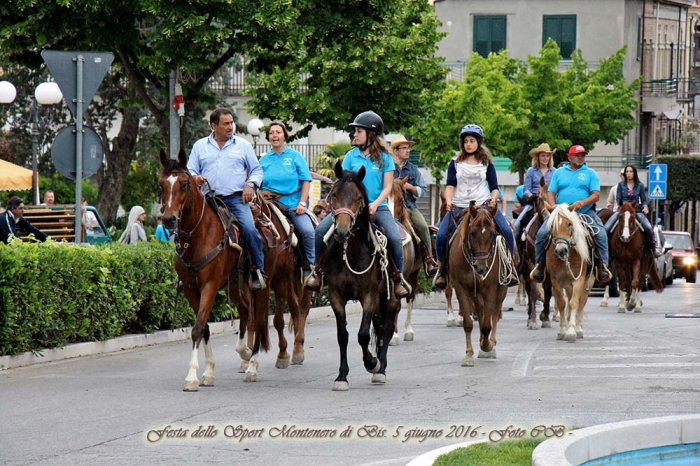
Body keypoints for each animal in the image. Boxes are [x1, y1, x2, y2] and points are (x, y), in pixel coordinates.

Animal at [160, 149, 270, 390]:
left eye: (184, 184)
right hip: (236, 287)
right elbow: (204, 328)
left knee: (258, 320)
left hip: (261, 287)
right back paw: (244, 352)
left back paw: (252, 365)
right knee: (245, 313)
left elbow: (197, 328)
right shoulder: (191, 290)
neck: (197, 236)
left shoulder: (209, 286)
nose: (168, 219)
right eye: (161, 184)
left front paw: (191, 376)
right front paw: (209, 371)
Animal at [322, 162, 400, 392]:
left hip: (391, 298)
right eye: (334, 194)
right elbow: (343, 335)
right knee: (380, 327)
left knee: (387, 329)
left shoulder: (369, 296)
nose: (342, 231)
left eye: (358, 198)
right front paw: (341, 376)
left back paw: (381, 369)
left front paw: (372, 363)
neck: (351, 252)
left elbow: (363, 335)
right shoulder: (336, 296)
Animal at [448, 202, 508, 366]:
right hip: (475, 293)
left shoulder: (491, 289)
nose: (481, 268)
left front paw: (487, 346)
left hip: (501, 290)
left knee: (495, 313)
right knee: (480, 312)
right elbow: (468, 323)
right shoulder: (461, 287)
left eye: (493, 234)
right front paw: (468, 354)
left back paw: (491, 343)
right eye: (473, 233)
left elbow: (488, 324)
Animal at [540, 206, 592, 340]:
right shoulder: (555, 280)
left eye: (569, 224)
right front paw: (563, 331)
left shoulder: (579, 279)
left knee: (581, 301)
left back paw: (579, 328)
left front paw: (572, 331)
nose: (561, 250)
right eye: (552, 226)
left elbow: (574, 303)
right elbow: (562, 303)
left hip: (588, 281)